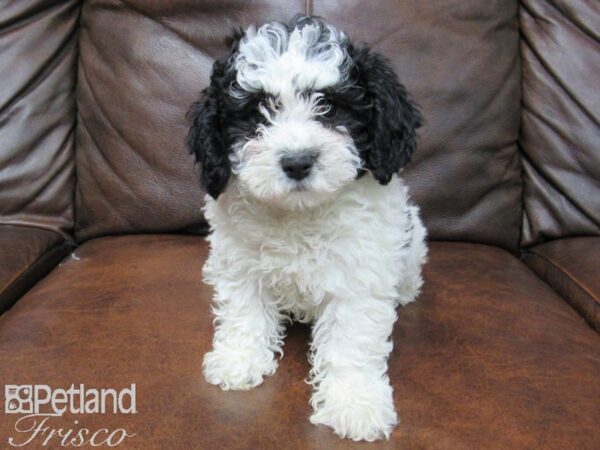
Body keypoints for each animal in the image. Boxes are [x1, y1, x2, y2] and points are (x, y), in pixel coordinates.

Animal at [188, 14, 426, 442]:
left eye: (328, 107)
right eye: (259, 112)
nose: (297, 161)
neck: (300, 215)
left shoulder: (359, 275)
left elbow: (351, 338)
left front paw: (355, 404)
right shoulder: (240, 260)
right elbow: (244, 310)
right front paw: (239, 359)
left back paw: (405, 291)